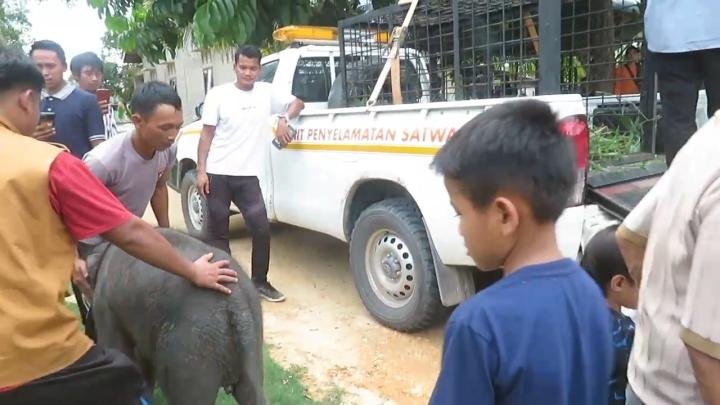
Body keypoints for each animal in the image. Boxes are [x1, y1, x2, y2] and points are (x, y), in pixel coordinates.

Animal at [87, 229, 266, 402]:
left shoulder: (105, 304)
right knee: (251, 391)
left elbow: (118, 350)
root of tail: (236, 301)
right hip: (250, 337)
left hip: (190, 346)